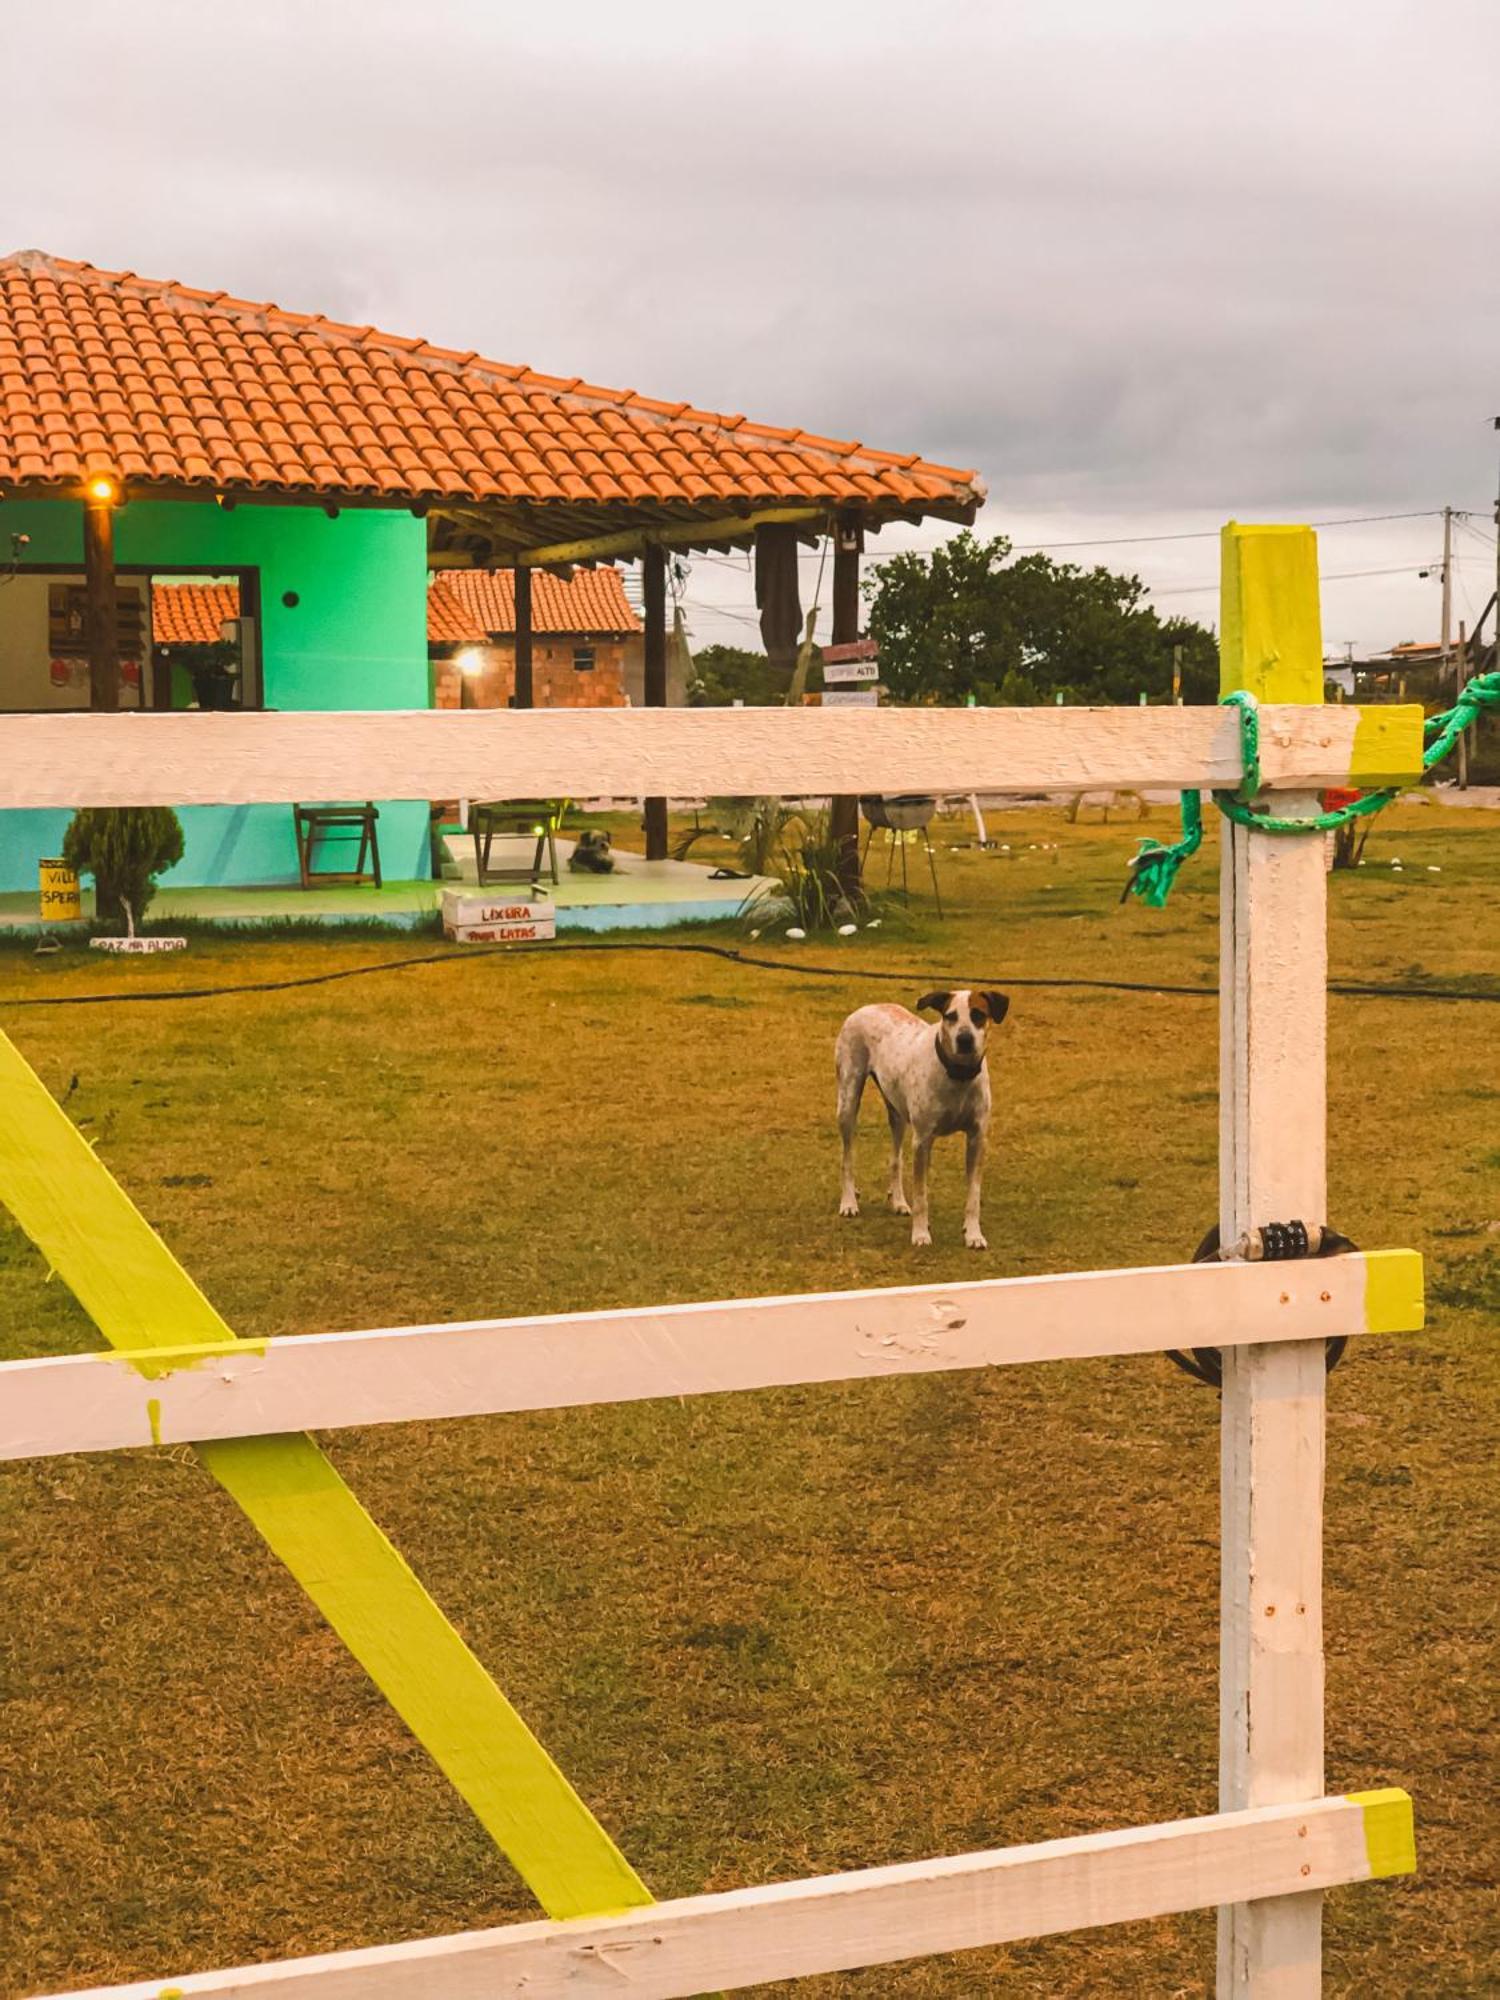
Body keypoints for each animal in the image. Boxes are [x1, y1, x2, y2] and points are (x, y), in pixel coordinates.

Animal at [836, 988, 1012, 1248]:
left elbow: (973, 1196)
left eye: (978, 1014)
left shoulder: (977, 1139)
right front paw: (920, 1234)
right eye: (950, 1016)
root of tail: (868, 1007)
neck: (958, 1076)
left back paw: (899, 1201)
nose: (965, 1039)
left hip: (898, 1112)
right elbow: (921, 1195)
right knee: (847, 1158)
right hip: (848, 1100)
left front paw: (973, 1235)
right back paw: (849, 1202)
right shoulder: (923, 1140)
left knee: (895, 1159)